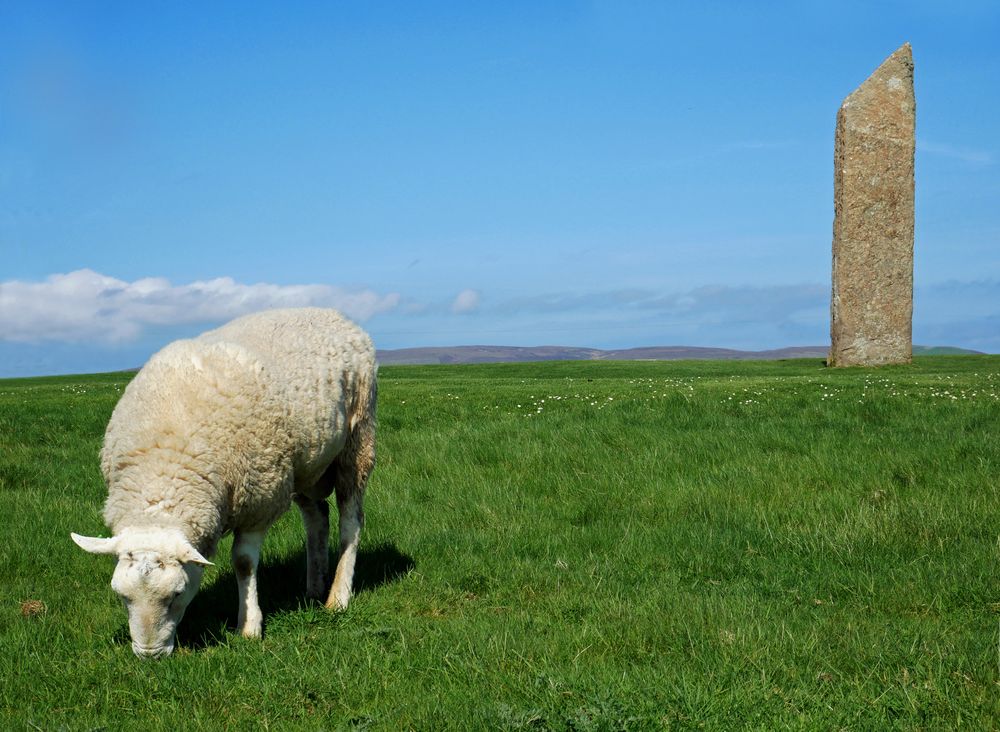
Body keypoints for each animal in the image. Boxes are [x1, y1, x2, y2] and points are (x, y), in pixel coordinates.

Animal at [69, 306, 376, 660]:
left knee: (350, 522)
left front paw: (248, 626)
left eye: (177, 594)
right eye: (121, 595)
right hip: (305, 464)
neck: (163, 474)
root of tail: (330, 312)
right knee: (317, 517)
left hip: (357, 441)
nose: (150, 655)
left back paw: (337, 597)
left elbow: (243, 562)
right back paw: (314, 587)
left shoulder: (259, 498)